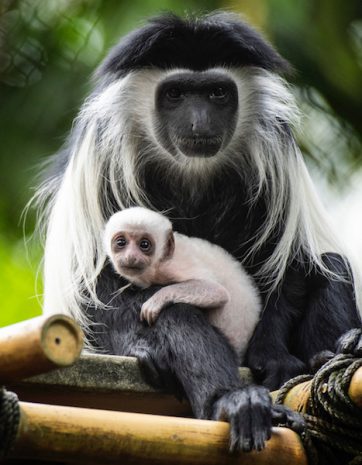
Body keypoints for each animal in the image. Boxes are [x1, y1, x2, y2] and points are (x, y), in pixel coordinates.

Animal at [103, 207, 262, 358]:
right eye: (121, 243)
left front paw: (156, 301)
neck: (158, 263)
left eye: (144, 244)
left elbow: (217, 291)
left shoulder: (171, 267)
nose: (131, 256)